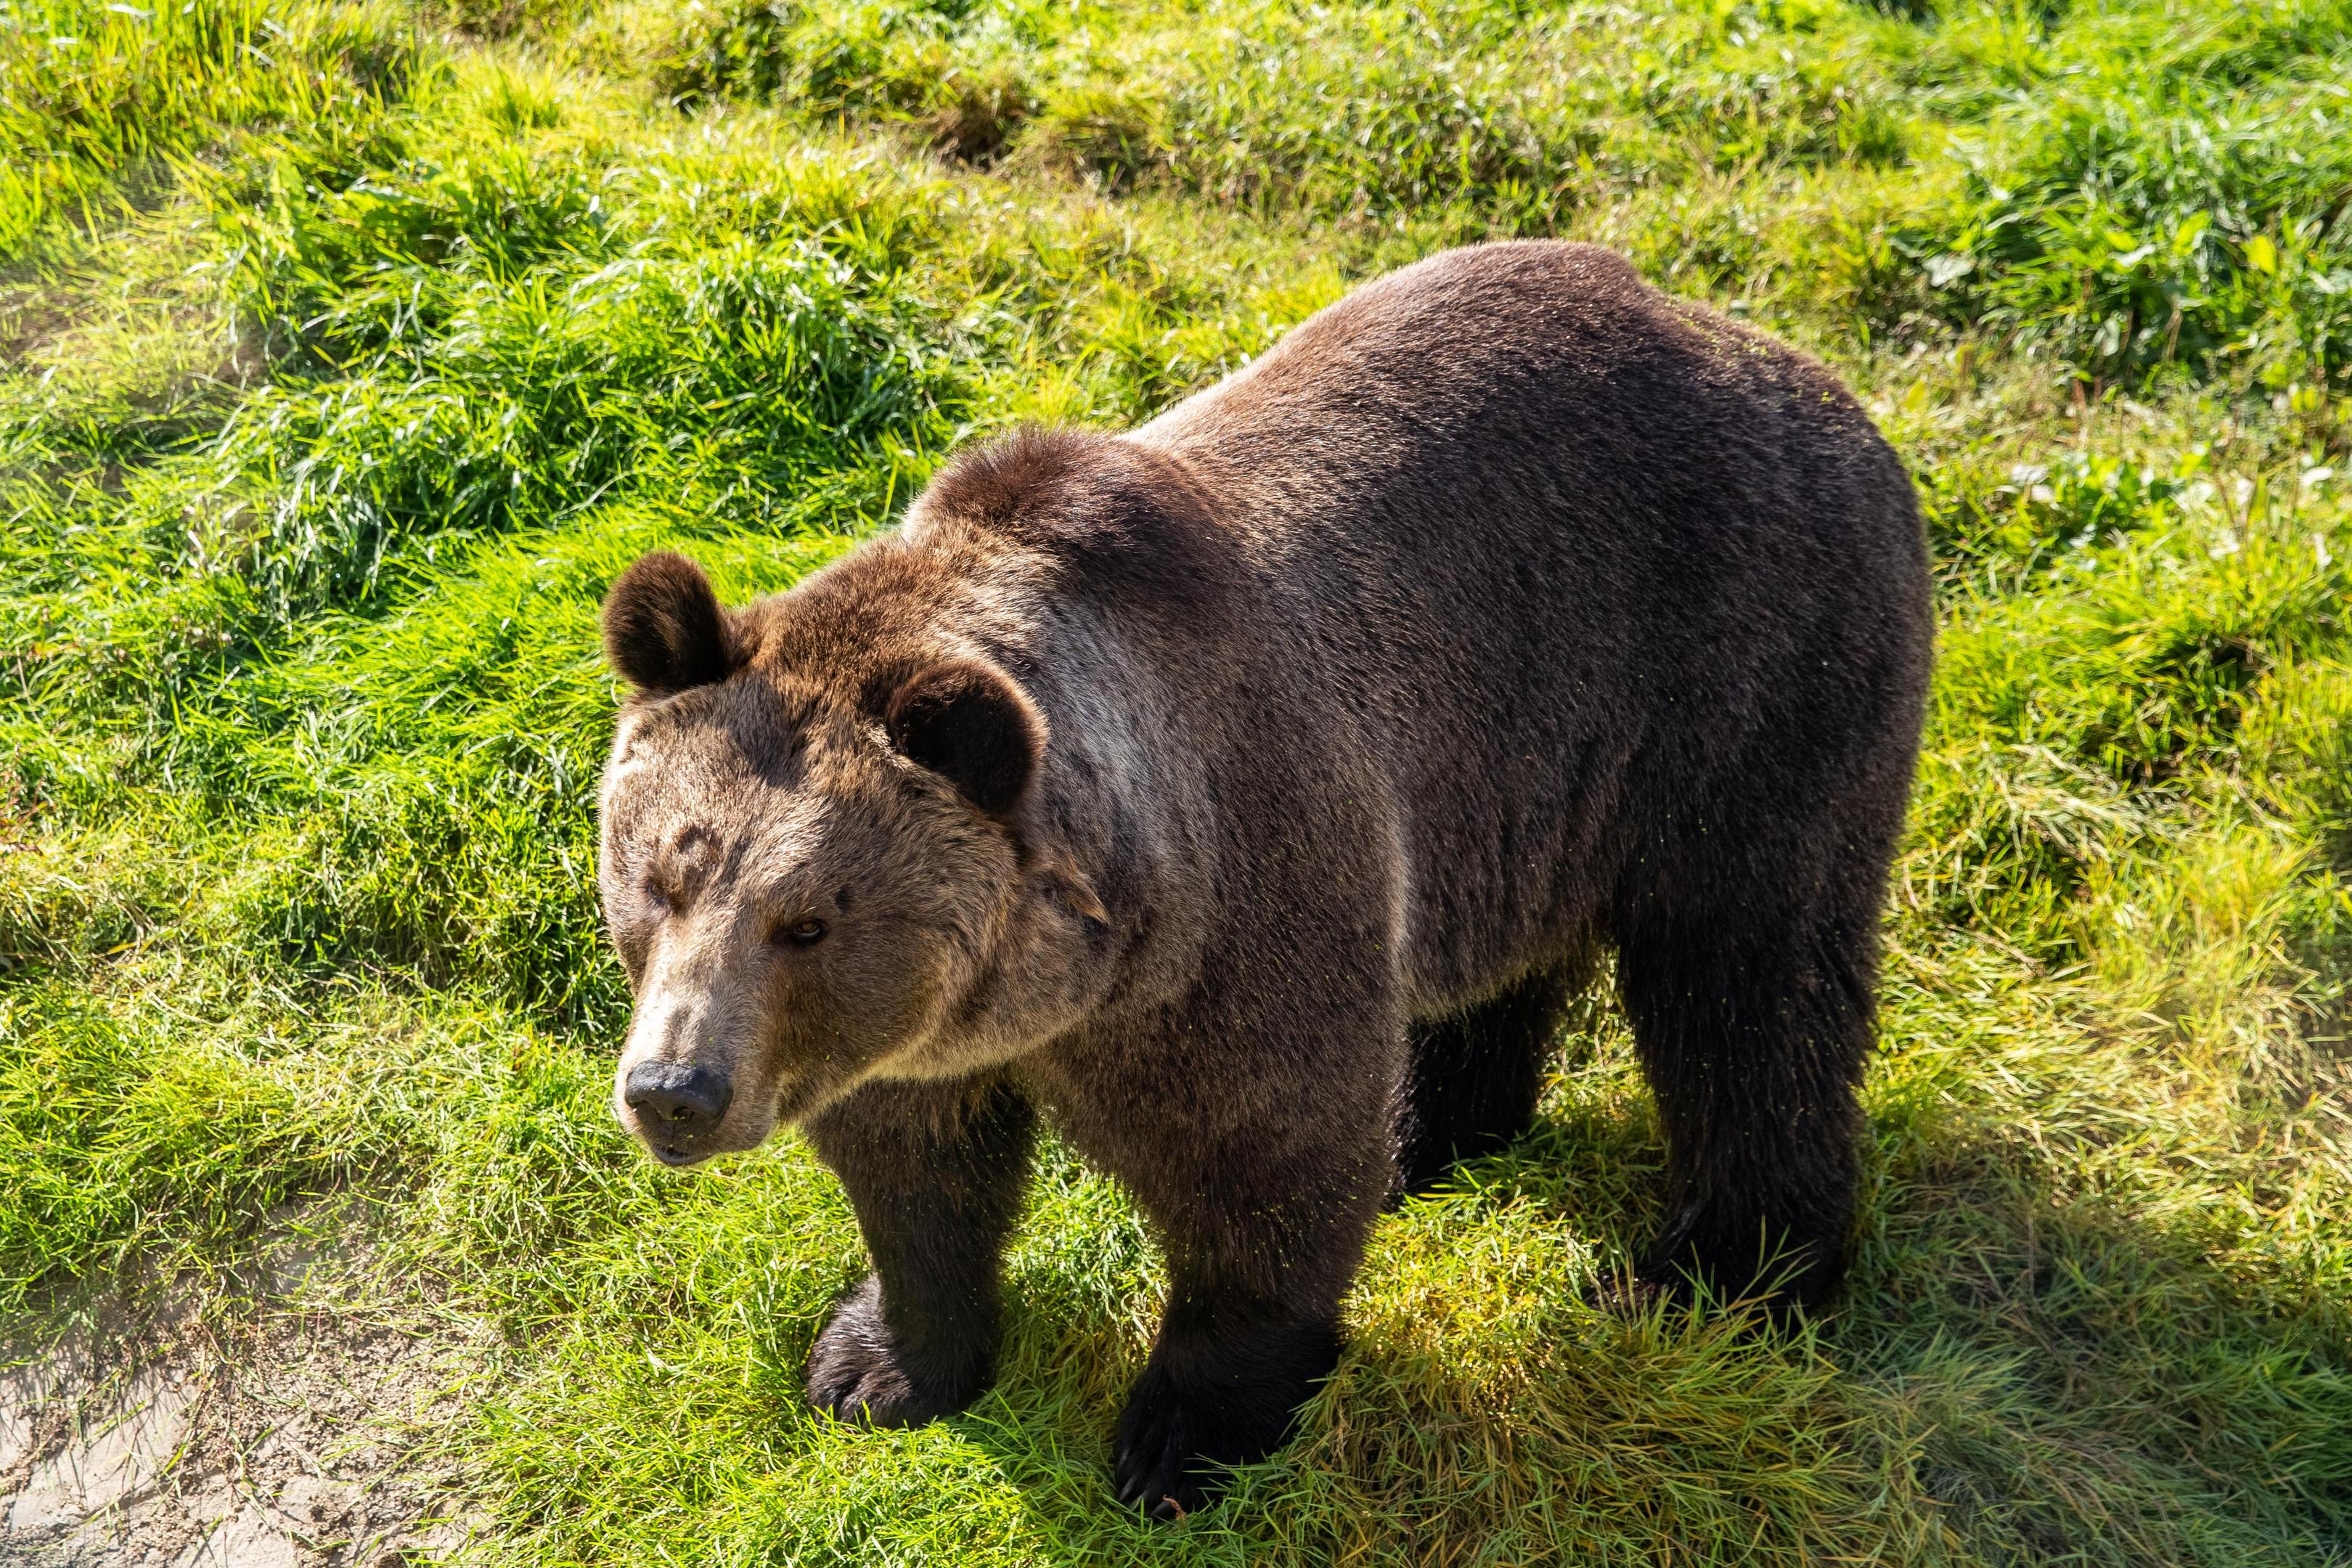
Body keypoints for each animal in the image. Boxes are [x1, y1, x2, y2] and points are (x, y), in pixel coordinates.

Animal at [594, 240, 1933, 1519]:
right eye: (662, 876)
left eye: (807, 920)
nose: (674, 1092)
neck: (1071, 978)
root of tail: (1783, 355)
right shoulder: (916, 1037)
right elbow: (914, 1174)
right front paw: (876, 1365)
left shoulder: (1234, 909)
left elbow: (1263, 1161)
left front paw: (1186, 1439)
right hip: (1520, 778)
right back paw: (1434, 1131)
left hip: (1744, 667)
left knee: (1749, 978)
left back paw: (1721, 1270)